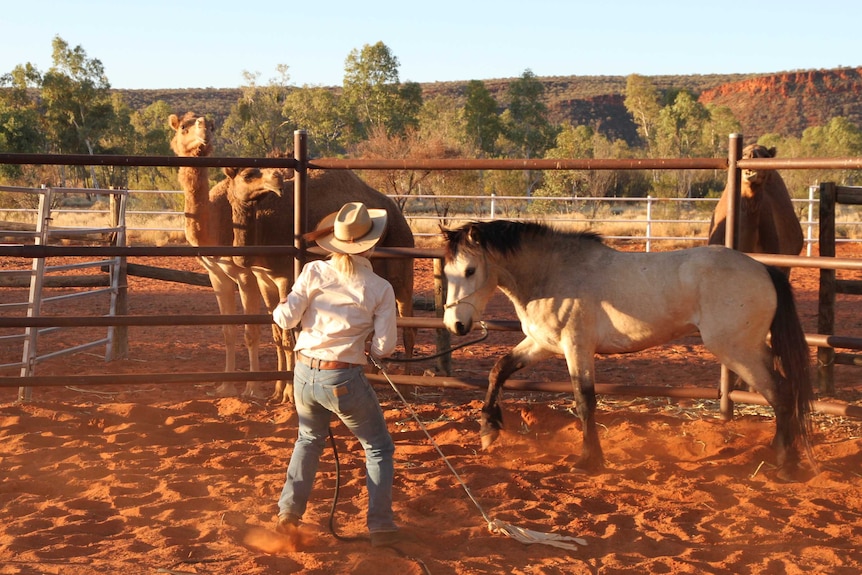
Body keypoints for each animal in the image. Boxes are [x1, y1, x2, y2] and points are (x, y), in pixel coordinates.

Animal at [167, 114, 264, 398]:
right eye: (184, 127)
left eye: (211, 126)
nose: (204, 133)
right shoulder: (217, 274)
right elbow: (227, 330)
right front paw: (225, 386)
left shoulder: (247, 274)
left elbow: (251, 331)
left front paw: (253, 389)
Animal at [218, 163, 416, 404]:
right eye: (248, 175)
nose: (277, 179)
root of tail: (398, 215)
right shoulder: (263, 279)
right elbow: (277, 336)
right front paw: (277, 391)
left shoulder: (285, 277)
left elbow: (288, 337)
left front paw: (288, 393)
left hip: (402, 264)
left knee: (408, 325)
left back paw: (406, 388)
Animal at [442, 218, 812, 480]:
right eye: (447, 271)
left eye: (470, 270)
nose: (456, 325)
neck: (555, 274)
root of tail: (764, 269)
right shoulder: (542, 344)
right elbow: (499, 369)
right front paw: (488, 430)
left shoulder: (577, 347)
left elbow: (585, 401)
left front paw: (589, 461)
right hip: (750, 348)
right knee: (785, 391)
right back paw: (779, 452)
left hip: (736, 350)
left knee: (780, 392)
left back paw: (786, 465)